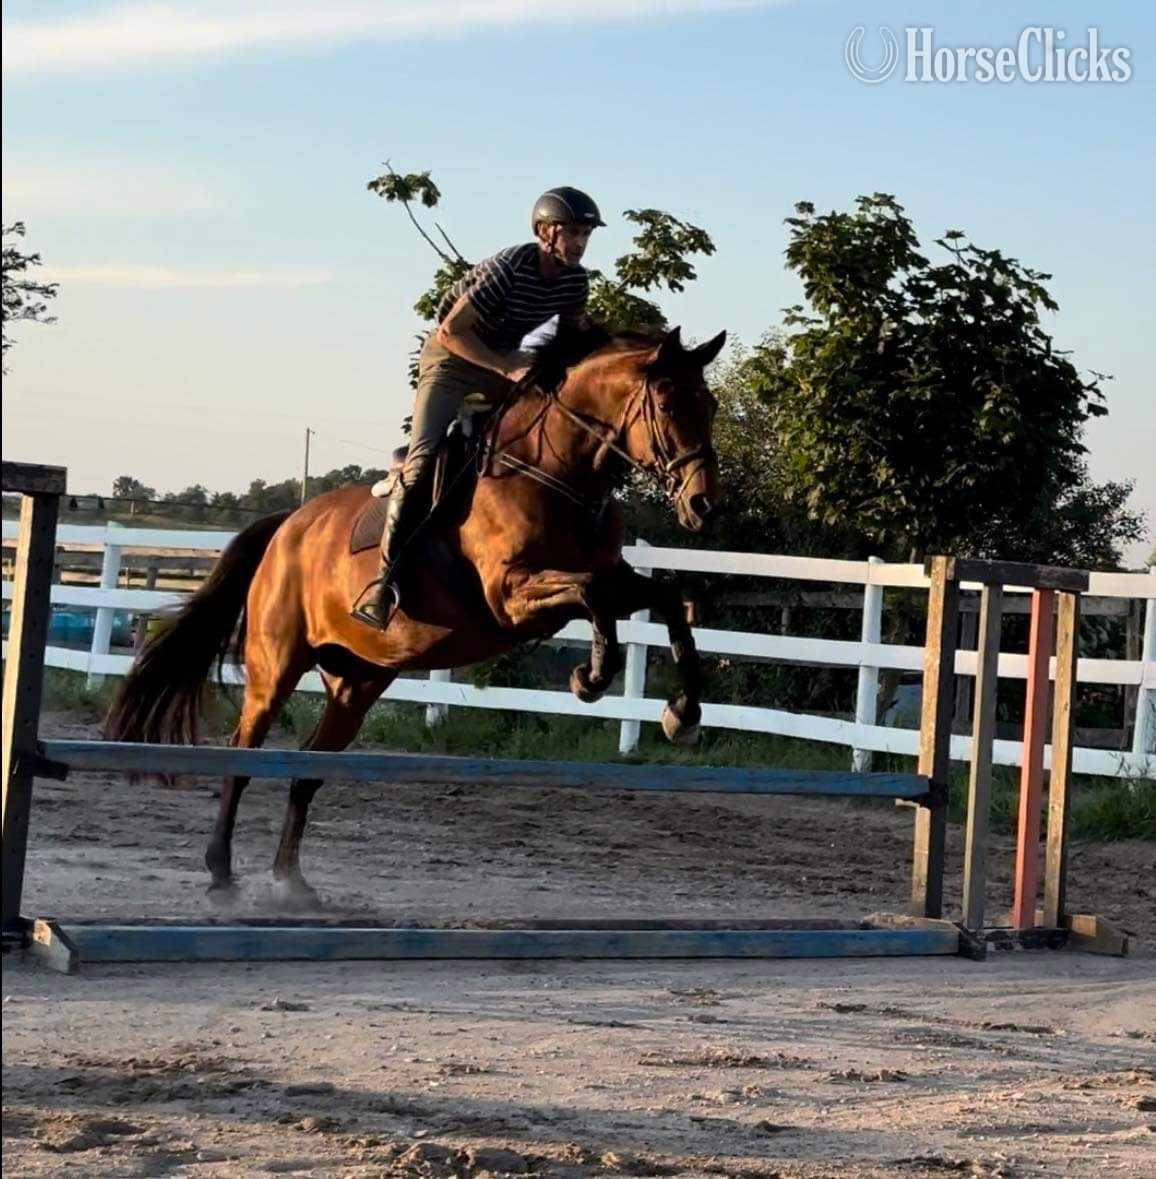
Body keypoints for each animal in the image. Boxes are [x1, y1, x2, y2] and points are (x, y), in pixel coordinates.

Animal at [104, 323, 727, 906]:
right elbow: (595, 596)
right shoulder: (511, 597)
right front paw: (591, 677)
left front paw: (682, 714)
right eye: (668, 404)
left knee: (306, 772)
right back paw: (220, 875)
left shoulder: (612, 581)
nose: (702, 506)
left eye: (712, 407)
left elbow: (665, 597)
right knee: (243, 756)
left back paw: (291, 882)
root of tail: (287, 527)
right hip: (276, 668)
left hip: (357, 683)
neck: (552, 472)